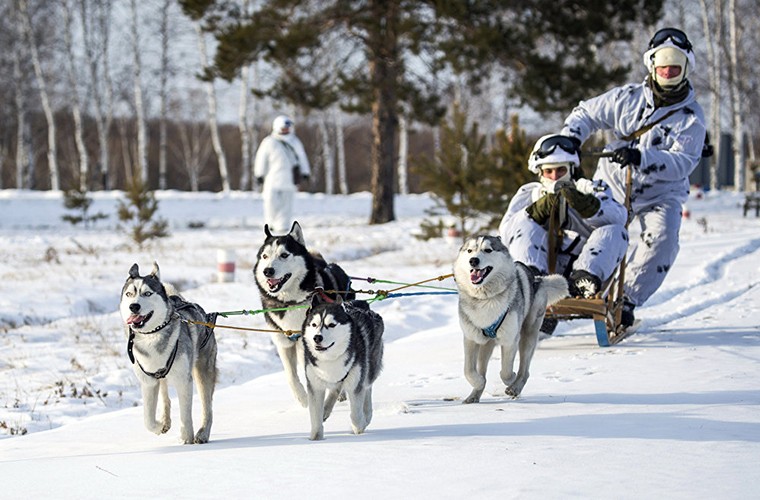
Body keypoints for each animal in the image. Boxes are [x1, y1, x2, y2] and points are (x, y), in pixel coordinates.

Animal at [119, 264, 218, 444]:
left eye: (147, 293)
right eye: (129, 294)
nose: (133, 306)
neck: (152, 336)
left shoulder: (183, 380)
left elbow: (186, 415)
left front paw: (186, 438)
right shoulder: (148, 382)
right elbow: (148, 420)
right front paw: (159, 426)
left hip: (202, 372)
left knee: (207, 407)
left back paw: (202, 433)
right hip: (162, 378)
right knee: (165, 396)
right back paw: (165, 421)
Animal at [252, 222, 354, 406]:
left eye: (284, 255)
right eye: (264, 256)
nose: (267, 271)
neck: (290, 302)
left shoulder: (304, 344)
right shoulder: (284, 344)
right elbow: (291, 376)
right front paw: (303, 398)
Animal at [302, 296, 382, 442]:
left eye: (332, 325)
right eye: (314, 324)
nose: (317, 337)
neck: (330, 359)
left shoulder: (356, 383)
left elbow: (356, 417)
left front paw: (360, 426)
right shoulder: (315, 386)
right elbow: (316, 420)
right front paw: (316, 439)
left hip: (369, 369)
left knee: (367, 388)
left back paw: (367, 415)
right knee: (336, 389)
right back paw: (326, 408)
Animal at [454, 236, 568, 404]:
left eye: (488, 250)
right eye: (469, 250)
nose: (473, 260)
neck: (485, 299)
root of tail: (538, 279)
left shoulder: (510, 341)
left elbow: (506, 372)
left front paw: (512, 380)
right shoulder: (470, 339)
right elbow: (468, 370)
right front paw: (479, 382)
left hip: (528, 335)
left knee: (525, 370)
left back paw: (516, 386)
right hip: (486, 344)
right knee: (482, 367)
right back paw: (475, 394)